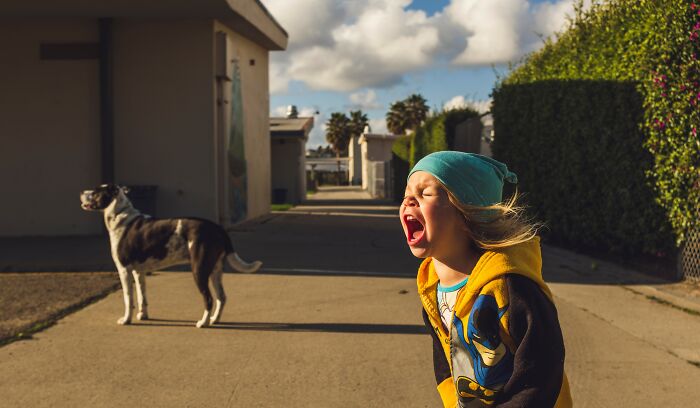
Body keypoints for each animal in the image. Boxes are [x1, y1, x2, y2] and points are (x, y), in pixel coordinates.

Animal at [79, 185, 260, 328]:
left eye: (95, 192)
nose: (81, 191)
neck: (120, 215)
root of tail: (218, 228)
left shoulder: (124, 270)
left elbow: (128, 298)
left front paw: (126, 320)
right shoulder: (139, 272)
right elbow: (142, 296)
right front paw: (143, 316)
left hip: (199, 271)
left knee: (209, 299)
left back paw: (203, 323)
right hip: (215, 270)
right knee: (222, 297)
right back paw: (214, 319)